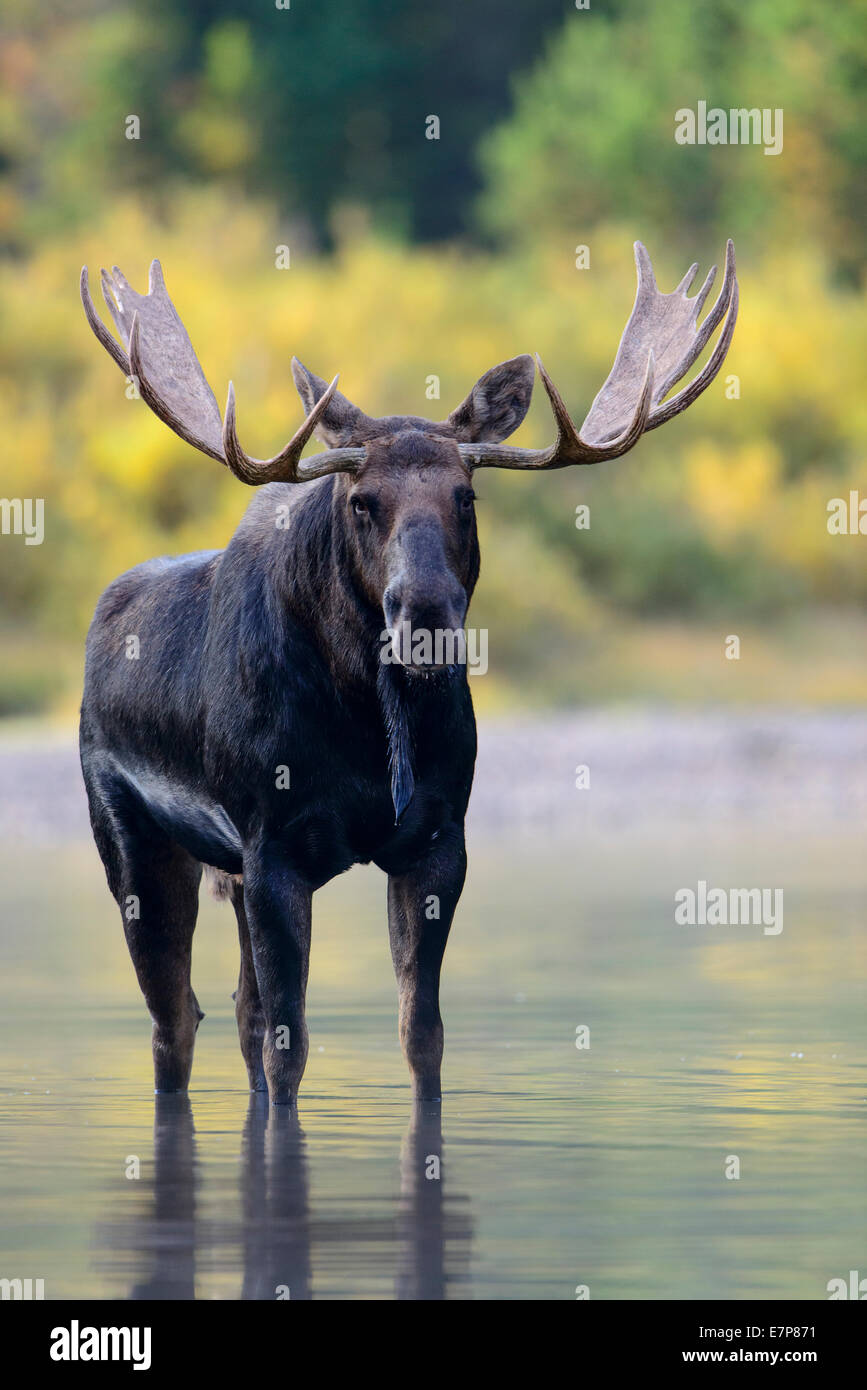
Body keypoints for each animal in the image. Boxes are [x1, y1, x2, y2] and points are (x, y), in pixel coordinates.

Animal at [78, 241, 738, 1105]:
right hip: (133, 837)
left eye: (466, 495)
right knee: (175, 1020)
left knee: (235, 1014)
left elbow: (419, 1035)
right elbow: (291, 1046)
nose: (424, 608)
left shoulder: (436, 839)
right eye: (361, 499)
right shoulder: (272, 845)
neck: (371, 729)